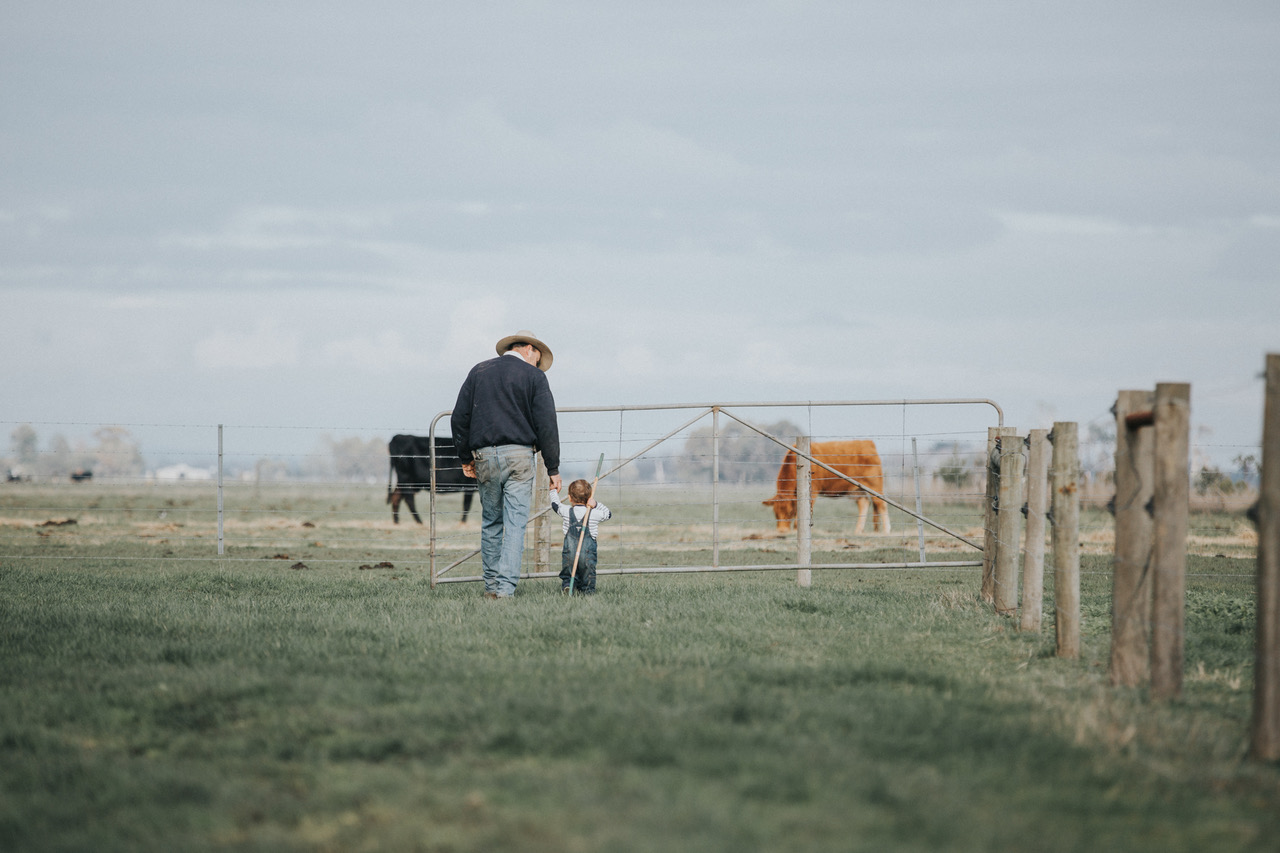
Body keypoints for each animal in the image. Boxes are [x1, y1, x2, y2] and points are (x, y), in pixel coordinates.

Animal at [757, 438, 890, 532]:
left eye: (790, 512)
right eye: (775, 513)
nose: (782, 530)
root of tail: (867, 443)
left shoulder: (813, 491)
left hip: (874, 485)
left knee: (881, 504)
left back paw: (886, 530)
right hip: (857, 489)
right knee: (864, 504)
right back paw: (858, 530)